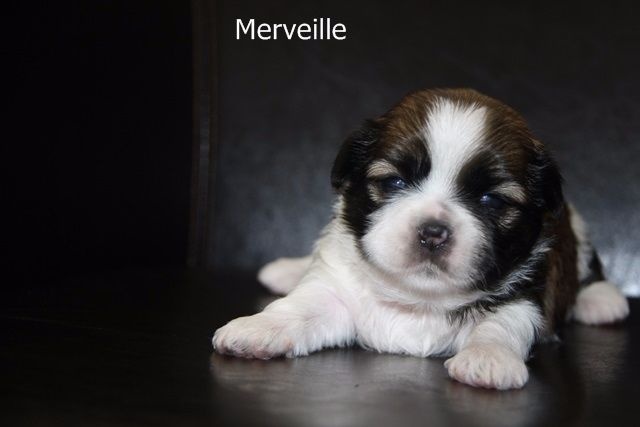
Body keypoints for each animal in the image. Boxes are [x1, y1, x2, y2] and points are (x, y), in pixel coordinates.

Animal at [212, 88, 629, 390]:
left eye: (492, 200)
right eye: (394, 182)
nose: (433, 231)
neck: (419, 299)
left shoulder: (524, 299)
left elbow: (500, 326)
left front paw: (488, 359)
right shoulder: (334, 292)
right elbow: (300, 307)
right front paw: (256, 329)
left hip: (577, 230)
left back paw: (601, 300)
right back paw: (285, 271)